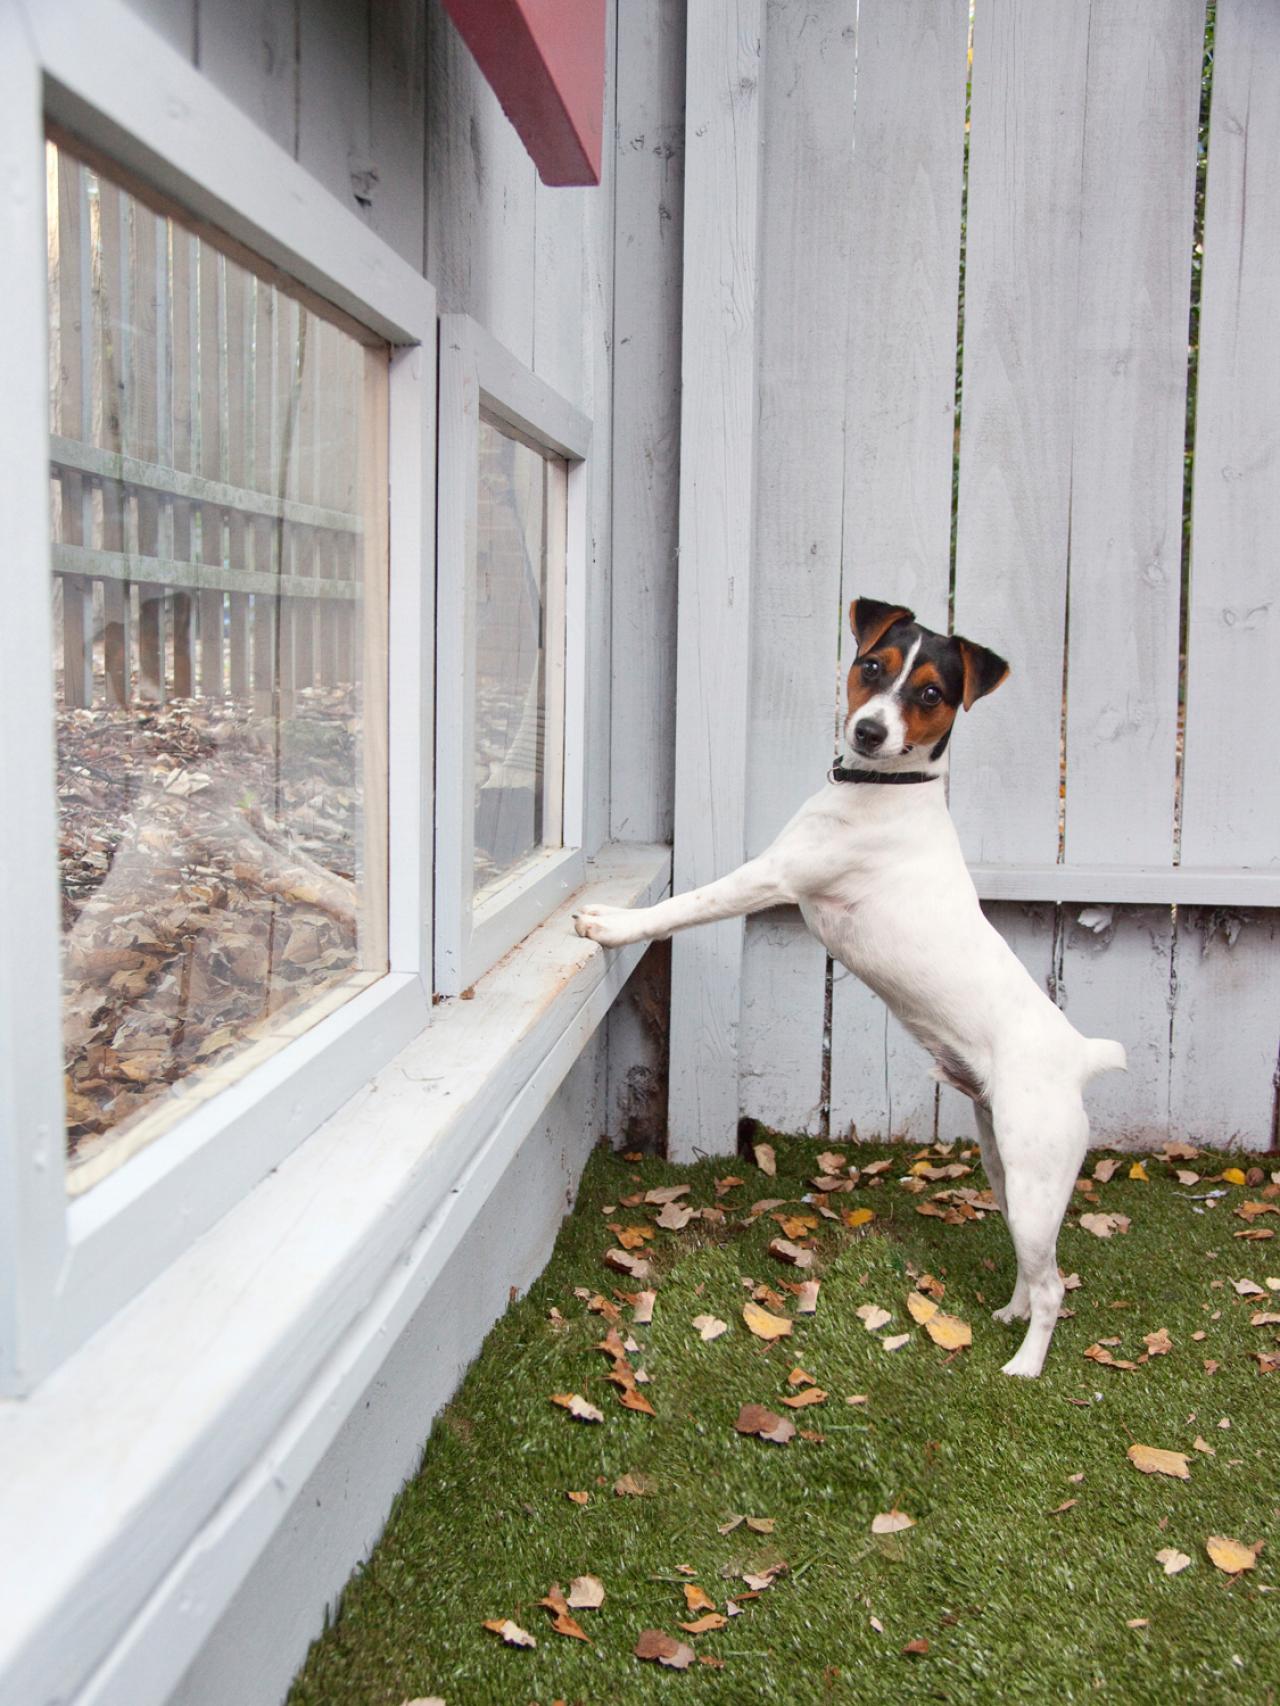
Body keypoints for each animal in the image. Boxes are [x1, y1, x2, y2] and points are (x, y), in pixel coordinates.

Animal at [576, 600, 1126, 1371]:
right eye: (871, 666)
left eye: (931, 693)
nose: (868, 730)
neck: (885, 789)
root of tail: (1079, 1056)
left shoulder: (770, 878)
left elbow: (687, 903)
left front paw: (613, 924)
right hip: (1005, 1166)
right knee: (1030, 1264)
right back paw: (1008, 1312)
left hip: (1036, 1170)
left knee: (1054, 1286)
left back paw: (1025, 1363)